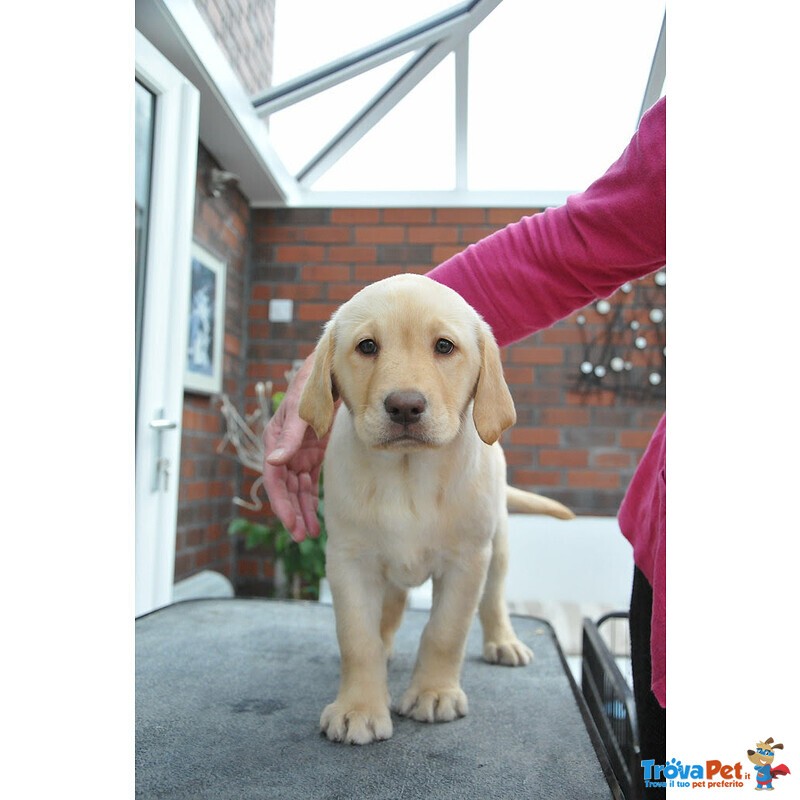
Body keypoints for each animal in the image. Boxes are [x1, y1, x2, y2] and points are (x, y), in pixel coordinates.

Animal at [296, 274, 572, 744]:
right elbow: (358, 638)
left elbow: (446, 631)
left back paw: (503, 641)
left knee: (494, 599)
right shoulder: (348, 559)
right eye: (367, 346)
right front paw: (358, 707)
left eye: (444, 346)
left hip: (497, 545)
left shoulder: (466, 561)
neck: (408, 473)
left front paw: (434, 693)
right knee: (390, 612)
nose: (405, 406)